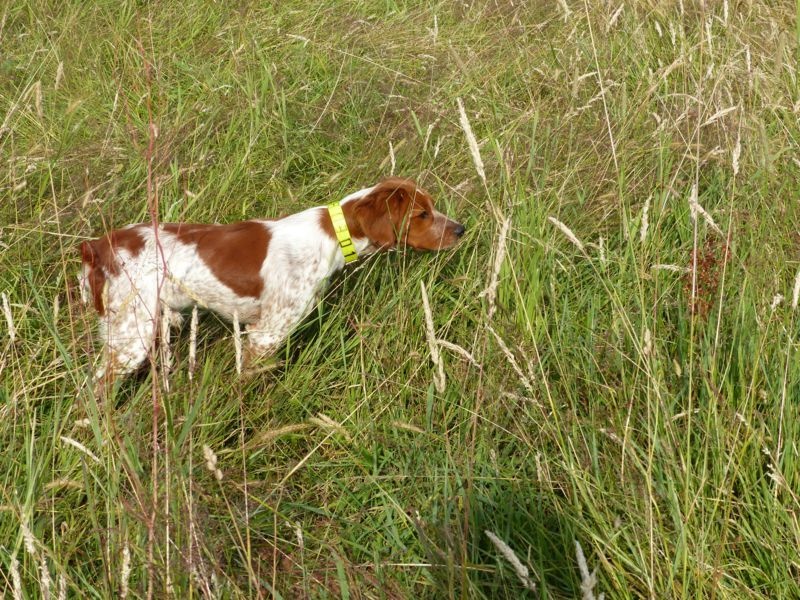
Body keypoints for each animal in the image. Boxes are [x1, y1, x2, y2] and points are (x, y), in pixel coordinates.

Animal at [78, 176, 466, 380]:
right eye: (422, 214)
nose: (461, 229)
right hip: (132, 337)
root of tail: (98, 246)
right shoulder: (266, 334)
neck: (332, 235)